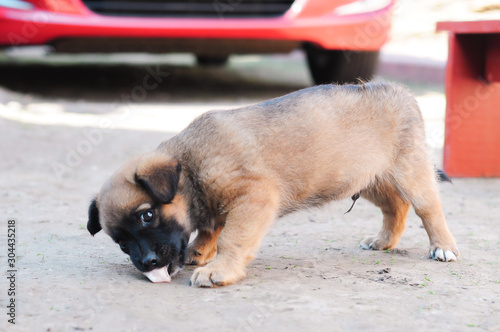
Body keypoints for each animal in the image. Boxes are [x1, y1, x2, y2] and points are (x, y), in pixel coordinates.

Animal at [88, 81, 458, 286]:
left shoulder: (253, 198)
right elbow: (211, 228)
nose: (148, 264)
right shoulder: (221, 204)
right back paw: (383, 241)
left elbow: (232, 238)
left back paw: (443, 247)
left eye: (147, 215)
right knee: (396, 206)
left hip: (409, 172)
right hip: (369, 180)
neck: (190, 164)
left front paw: (220, 269)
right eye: (121, 242)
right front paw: (201, 252)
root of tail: (399, 91)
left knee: (428, 208)